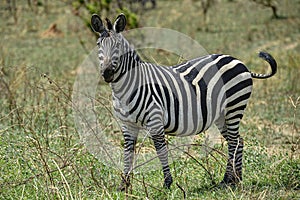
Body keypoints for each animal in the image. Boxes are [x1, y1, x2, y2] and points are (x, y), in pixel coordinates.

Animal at [90, 13, 278, 189]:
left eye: (118, 46)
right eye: (99, 45)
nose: (107, 73)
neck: (126, 89)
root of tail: (239, 61)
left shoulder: (155, 120)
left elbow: (161, 151)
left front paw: (167, 183)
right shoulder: (127, 125)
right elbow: (128, 152)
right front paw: (124, 185)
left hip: (234, 106)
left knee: (233, 142)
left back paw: (227, 180)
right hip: (222, 115)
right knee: (239, 141)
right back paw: (236, 180)